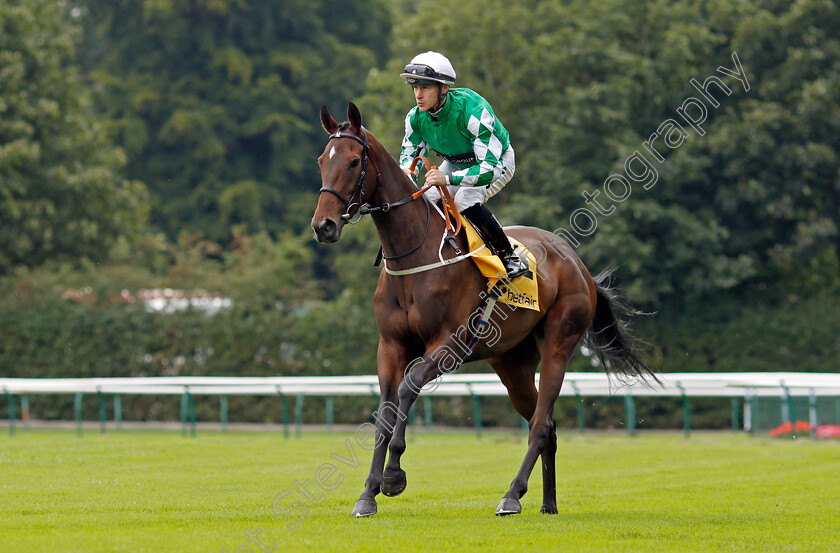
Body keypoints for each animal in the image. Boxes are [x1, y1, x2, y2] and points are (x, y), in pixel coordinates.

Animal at [310, 102, 656, 516]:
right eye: (321, 160)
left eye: (353, 161)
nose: (324, 226)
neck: (414, 253)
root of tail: (577, 262)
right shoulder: (391, 346)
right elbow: (386, 409)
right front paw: (367, 494)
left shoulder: (450, 344)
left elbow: (409, 388)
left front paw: (393, 476)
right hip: (511, 363)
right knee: (547, 424)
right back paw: (548, 503)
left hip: (559, 341)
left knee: (541, 423)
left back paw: (512, 495)